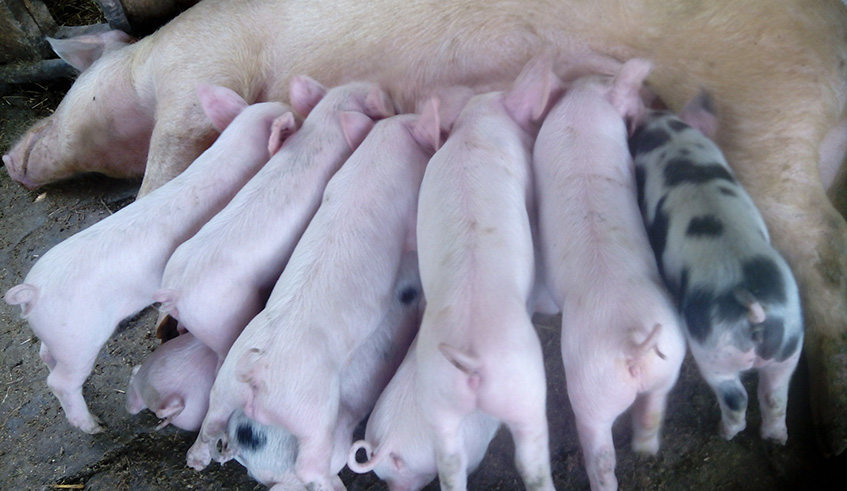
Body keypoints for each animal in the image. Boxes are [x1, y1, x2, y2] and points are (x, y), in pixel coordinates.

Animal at [3, 86, 298, 434]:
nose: (296, 110)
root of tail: (32, 291)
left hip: (59, 336)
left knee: (44, 354)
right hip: (79, 339)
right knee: (60, 382)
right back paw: (95, 426)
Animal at [413, 55, 558, 491]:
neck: (472, 130)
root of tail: (470, 355)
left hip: (436, 397)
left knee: (449, 461)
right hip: (524, 387)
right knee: (531, 460)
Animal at [532, 59, 686, 491]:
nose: (655, 98)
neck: (581, 108)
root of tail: (630, 343)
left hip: (589, 388)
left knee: (600, 453)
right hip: (667, 364)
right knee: (653, 411)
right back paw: (646, 450)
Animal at [629, 92, 804, 444]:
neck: (671, 138)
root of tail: (756, 314)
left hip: (715, 352)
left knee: (737, 398)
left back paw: (724, 433)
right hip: (790, 345)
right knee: (775, 395)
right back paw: (775, 438)